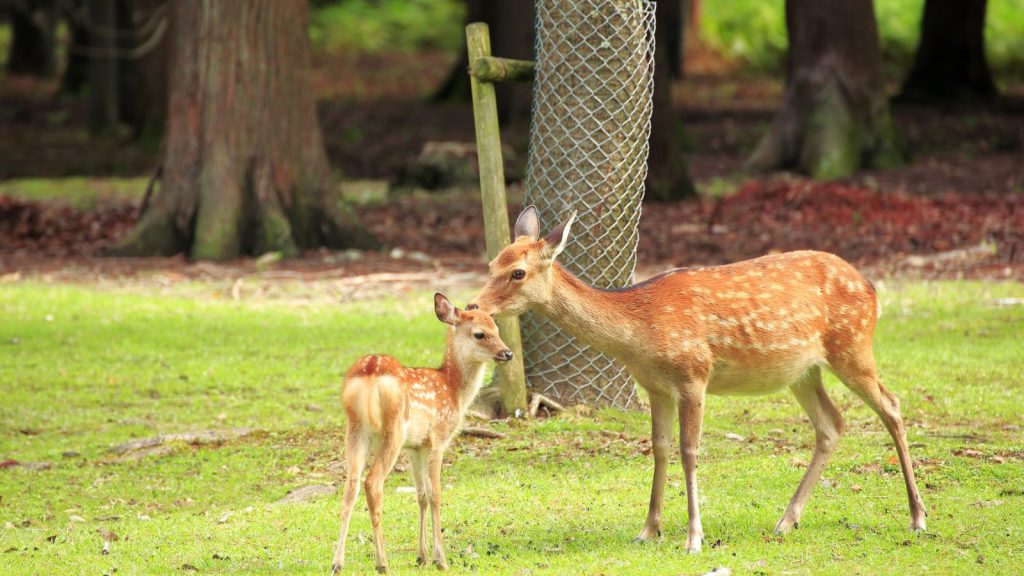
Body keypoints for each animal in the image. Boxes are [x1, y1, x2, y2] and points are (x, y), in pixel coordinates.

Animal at [331, 293, 514, 574]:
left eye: (497, 328)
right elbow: (436, 494)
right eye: (480, 334)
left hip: (355, 428)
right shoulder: (438, 438)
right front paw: (441, 559)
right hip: (393, 429)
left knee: (350, 486)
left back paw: (338, 563)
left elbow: (421, 495)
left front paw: (421, 556)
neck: (453, 390)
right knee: (373, 483)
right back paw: (382, 563)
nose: (507, 353)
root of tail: (370, 372)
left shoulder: (415, 446)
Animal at [466, 206, 927, 553]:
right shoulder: (654, 385)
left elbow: (689, 452)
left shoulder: (694, 375)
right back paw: (786, 521)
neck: (640, 331)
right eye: (491, 264)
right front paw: (648, 530)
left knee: (891, 405)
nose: (473, 305)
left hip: (852, 346)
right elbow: (659, 448)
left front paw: (693, 538)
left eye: (518, 272)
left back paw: (918, 516)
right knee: (832, 424)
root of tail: (872, 288)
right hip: (802, 370)